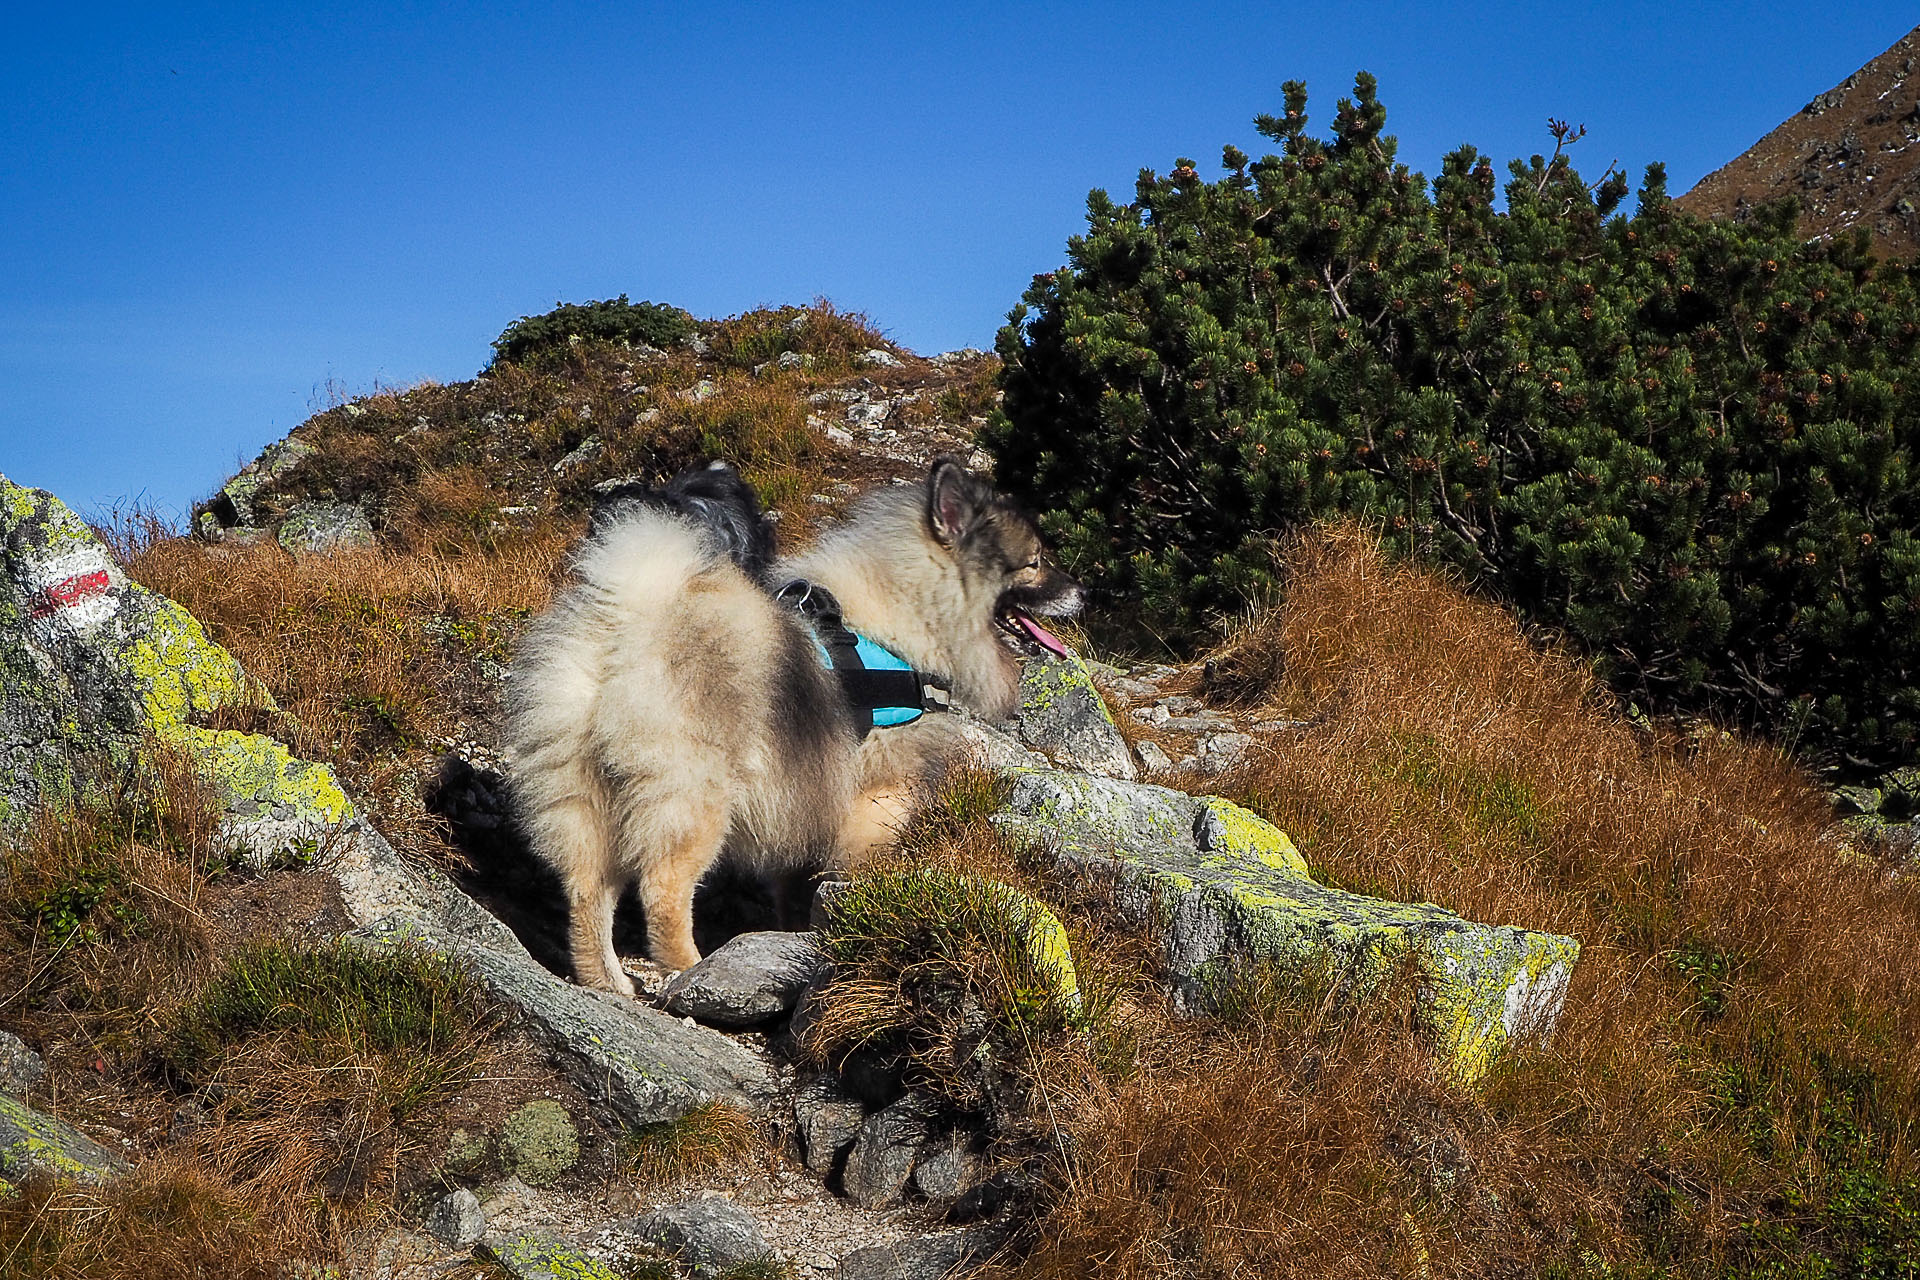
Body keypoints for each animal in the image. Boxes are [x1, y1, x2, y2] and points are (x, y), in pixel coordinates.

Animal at [506, 460, 1082, 990]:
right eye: (1034, 564)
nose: (1084, 592)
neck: (903, 622)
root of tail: (625, 619)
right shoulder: (874, 798)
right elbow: (852, 870)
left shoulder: (803, 792)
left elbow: (794, 885)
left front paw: (796, 933)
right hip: (694, 797)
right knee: (662, 890)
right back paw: (689, 969)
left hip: (583, 795)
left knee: (586, 892)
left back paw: (605, 982)